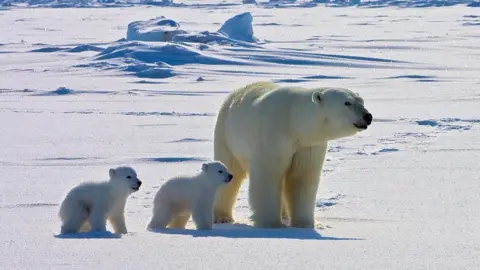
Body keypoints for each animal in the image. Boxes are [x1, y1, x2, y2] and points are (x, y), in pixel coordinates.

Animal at [212, 81, 374, 228]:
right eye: (347, 103)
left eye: (361, 101)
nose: (368, 116)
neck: (293, 121)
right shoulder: (273, 134)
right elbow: (268, 175)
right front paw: (271, 224)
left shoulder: (308, 144)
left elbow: (302, 177)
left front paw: (306, 224)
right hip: (226, 135)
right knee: (230, 170)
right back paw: (222, 217)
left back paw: (284, 214)